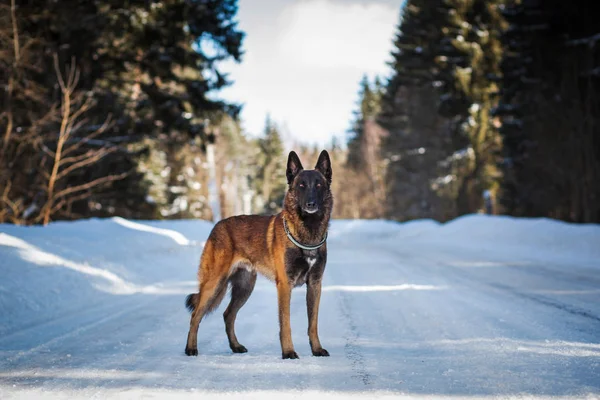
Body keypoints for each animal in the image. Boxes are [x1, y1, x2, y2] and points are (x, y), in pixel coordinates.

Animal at [183, 149, 332, 360]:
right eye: (301, 186)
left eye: (318, 185)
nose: (311, 204)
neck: (307, 233)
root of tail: (218, 225)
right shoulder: (285, 285)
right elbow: (285, 323)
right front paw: (288, 351)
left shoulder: (315, 285)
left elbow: (313, 324)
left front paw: (317, 349)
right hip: (214, 283)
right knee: (195, 315)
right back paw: (191, 348)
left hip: (244, 287)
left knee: (228, 314)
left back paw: (236, 346)